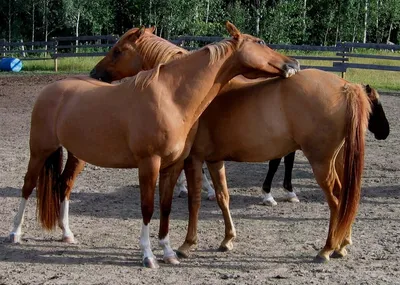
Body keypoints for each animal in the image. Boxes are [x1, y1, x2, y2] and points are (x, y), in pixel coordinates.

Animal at [7, 21, 298, 266]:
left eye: (118, 50)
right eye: (260, 42)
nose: (293, 63)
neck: (170, 97)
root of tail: (51, 90)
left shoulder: (174, 165)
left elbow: (166, 207)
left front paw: (169, 252)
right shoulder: (150, 164)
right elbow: (148, 208)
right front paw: (149, 256)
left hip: (76, 155)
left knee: (63, 186)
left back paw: (67, 233)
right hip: (39, 151)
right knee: (28, 187)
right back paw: (15, 233)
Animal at [177, 69, 374, 262]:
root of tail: (345, 87)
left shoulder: (193, 159)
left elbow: (194, 201)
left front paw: (187, 244)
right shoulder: (214, 160)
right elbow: (222, 197)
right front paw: (227, 239)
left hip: (322, 164)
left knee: (336, 201)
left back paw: (327, 249)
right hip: (338, 160)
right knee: (345, 198)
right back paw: (341, 245)